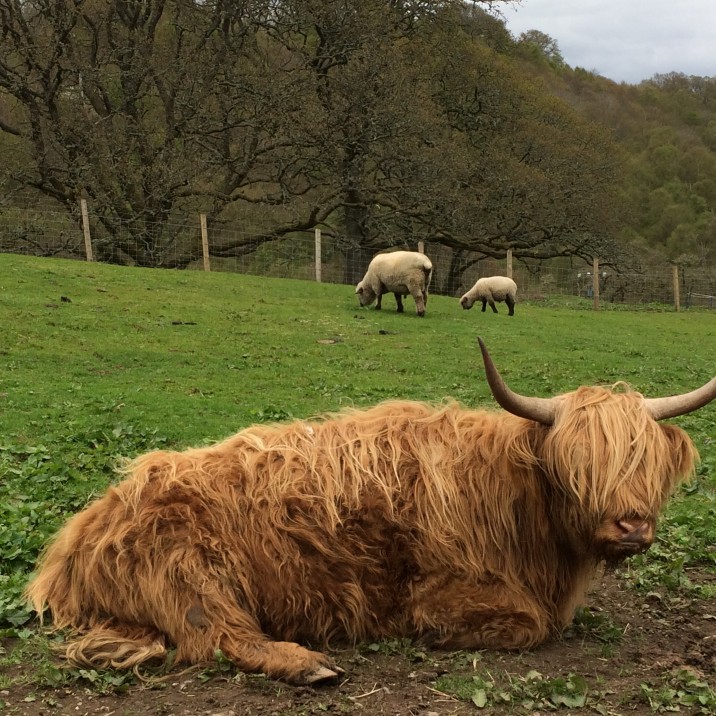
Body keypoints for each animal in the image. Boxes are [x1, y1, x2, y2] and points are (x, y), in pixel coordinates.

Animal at [26, 339, 716, 685]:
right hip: (193, 573)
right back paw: (309, 664)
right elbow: (529, 625)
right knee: (217, 639)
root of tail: (82, 530)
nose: (631, 524)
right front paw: (438, 635)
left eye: (646, 463)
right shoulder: (443, 588)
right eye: (576, 466)